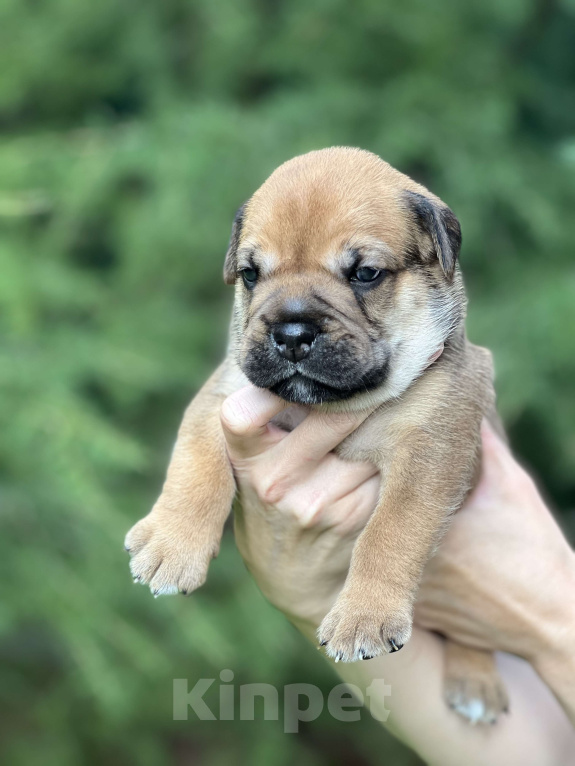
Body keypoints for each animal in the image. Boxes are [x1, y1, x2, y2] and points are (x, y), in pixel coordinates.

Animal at [126, 148, 508, 728]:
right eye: (250, 274)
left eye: (366, 274)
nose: (290, 331)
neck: (332, 404)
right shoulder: (224, 395)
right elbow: (195, 460)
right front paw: (172, 544)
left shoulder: (436, 442)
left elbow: (391, 531)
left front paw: (364, 617)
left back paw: (476, 681)